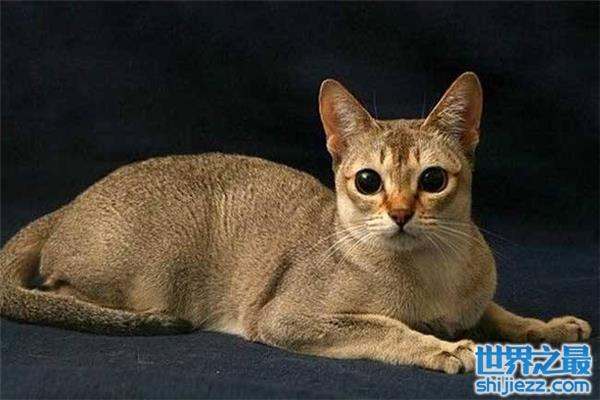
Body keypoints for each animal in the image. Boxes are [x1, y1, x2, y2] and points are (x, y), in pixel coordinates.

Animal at [0, 72, 591, 374]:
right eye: (368, 181)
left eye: (433, 180)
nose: (401, 213)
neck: (431, 274)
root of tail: (67, 205)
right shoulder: (286, 317)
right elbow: (384, 327)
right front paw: (443, 348)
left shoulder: (474, 301)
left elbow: (499, 314)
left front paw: (548, 328)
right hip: (158, 262)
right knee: (56, 292)